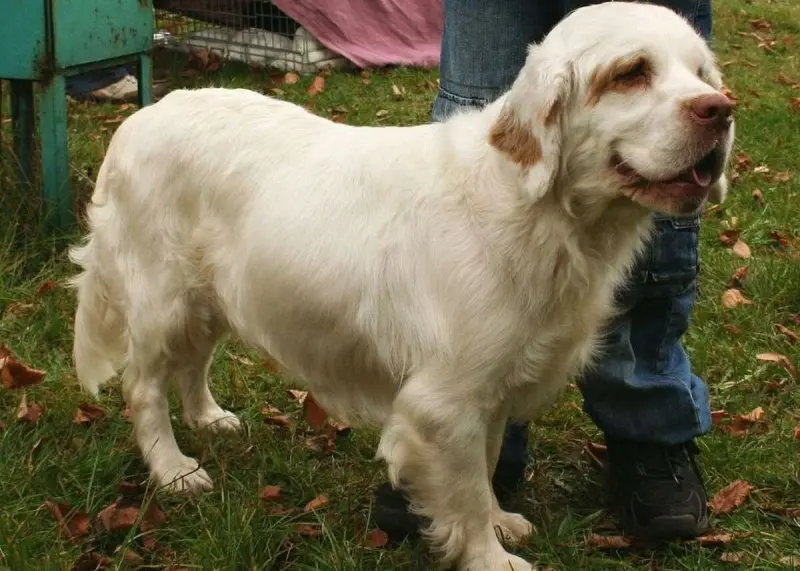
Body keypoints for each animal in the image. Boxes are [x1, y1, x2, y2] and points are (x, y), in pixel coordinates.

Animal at [72, 2, 736, 568]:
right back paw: (174, 469)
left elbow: (486, 467)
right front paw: (490, 556)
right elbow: (465, 491)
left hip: (211, 298)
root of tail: (142, 117)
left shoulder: (491, 389)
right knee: (143, 387)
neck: (537, 211)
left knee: (193, 363)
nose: (720, 110)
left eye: (702, 72)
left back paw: (209, 419)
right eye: (631, 72)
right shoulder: (445, 401)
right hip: (162, 301)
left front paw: (501, 522)